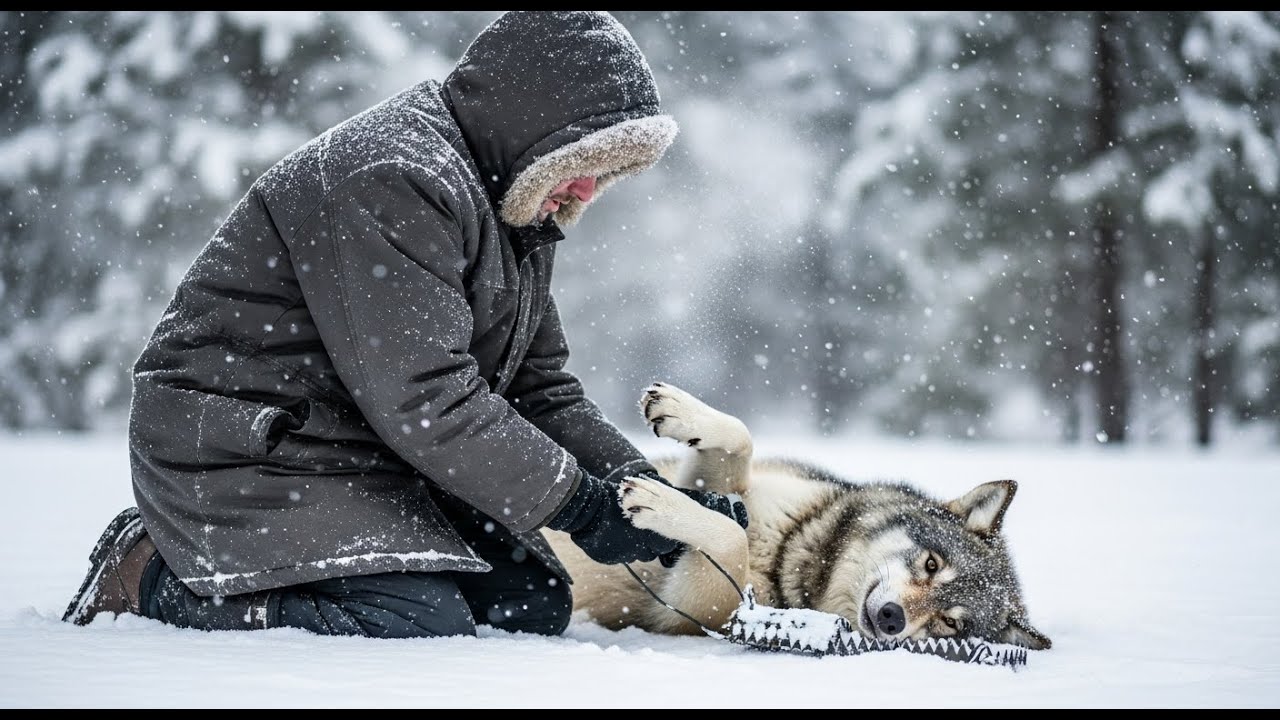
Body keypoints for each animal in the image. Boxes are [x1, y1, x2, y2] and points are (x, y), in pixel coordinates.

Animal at [542, 382, 1051, 650]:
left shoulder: (695, 609)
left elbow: (731, 537)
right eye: (931, 564)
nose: (892, 619)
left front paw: (657, 504)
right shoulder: (721, 486)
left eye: (950, 624)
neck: (796, 548)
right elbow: (741, 438)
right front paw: (681, 411)